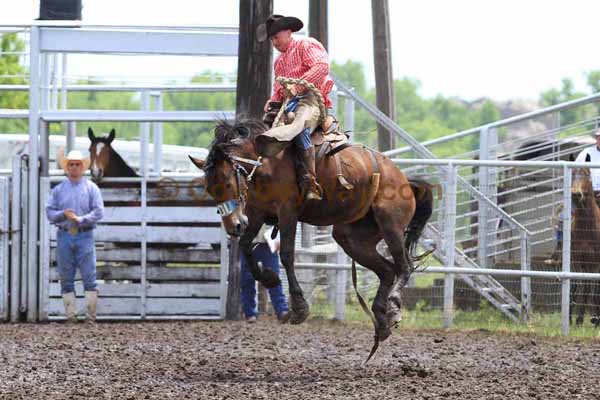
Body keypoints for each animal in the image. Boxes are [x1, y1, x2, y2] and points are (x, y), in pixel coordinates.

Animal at [190, 117, 434, 358]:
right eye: (209, 189)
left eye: (227, 182)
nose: (234, 226)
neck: (266, 162)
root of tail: (404, 180)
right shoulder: (257, 212)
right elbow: (245, 245)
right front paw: (269, 278)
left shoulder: (287, 211)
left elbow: (287, 254)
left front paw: (299, 308)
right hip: (352, 237)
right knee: (387, 271)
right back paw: (382, 323)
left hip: (390, 224)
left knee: (403, 267)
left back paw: (392, 308)